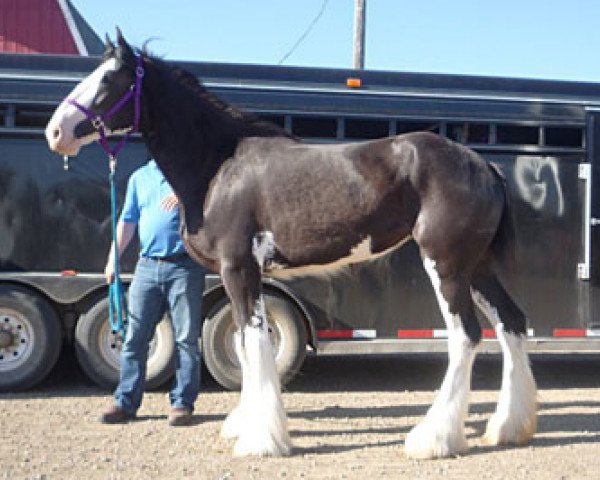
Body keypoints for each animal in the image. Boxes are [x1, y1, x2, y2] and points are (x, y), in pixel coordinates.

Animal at [44, 30, 536, 458]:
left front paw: (261, 440)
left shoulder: (239, 269)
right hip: (477, 269)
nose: (54, 132)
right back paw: (508, 427)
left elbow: (254, 342)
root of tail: (482, 165)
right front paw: (245, 424)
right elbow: (244, 344)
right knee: (511, 324)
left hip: (446, 267)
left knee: (465, 336)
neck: (219, 165)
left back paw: (433, 439)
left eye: (110, 79)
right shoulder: (247, 274)